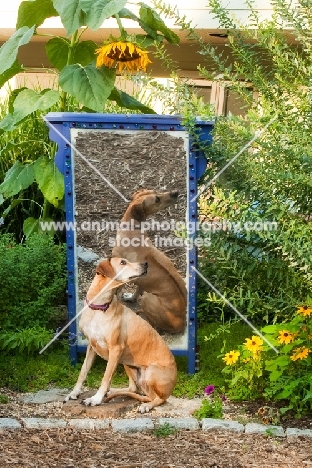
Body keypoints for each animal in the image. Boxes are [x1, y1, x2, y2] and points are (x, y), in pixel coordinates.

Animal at [64, 256, 177, 414]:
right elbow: (83, 372)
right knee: (135, 389)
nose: (145, 264)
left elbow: (106, 378)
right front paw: (74, 393)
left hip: (150, 371)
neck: (99, 308)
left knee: (159, 398)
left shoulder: (115, 349)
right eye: (123, 262)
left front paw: (95, 399)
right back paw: (115, 392)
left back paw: (146, 405)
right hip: (127, 363)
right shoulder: (91, 347)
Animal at [112, 188, 186, 334]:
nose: (175, 193)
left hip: (148, 297)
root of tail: (182, 323)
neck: (132, 229)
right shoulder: (140, 279)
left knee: (156, 327)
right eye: (157, 198)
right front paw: (131, 298)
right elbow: (137, 289)